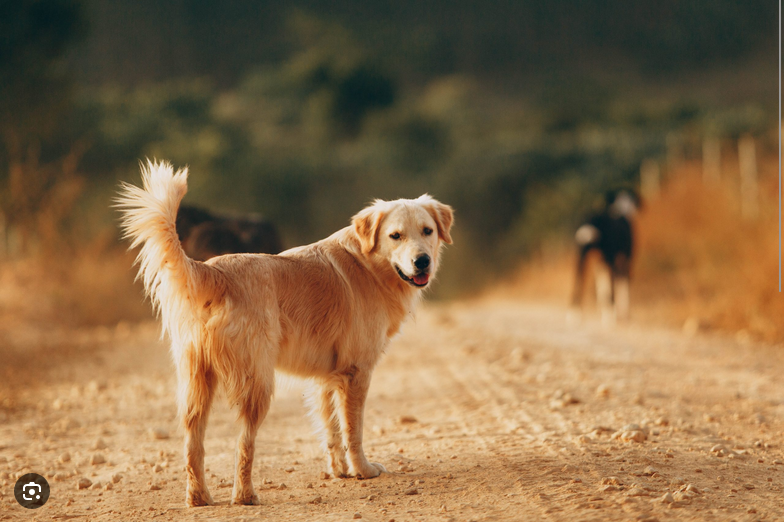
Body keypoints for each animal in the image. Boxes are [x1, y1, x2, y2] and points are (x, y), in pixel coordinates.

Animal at [116, 161, 454, 504]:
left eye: (427, 231)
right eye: (395, 236)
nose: (422, 261)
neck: (368, 264)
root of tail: (215, 271)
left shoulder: (327, 378)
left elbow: (331, 430)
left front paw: (340, 470)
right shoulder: (356, 372)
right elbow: (353, 430)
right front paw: (363, 470)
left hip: (197, 382)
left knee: (193, 442)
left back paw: (199, 498)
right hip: (258, 384)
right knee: (244, 444)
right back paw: (245, 495)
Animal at [572, 189, 640, 322]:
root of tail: (593, 221)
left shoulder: (600, 264)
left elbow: (602, 288)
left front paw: (602, 310)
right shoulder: (625, 259)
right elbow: (622, 285)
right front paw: (624, 314)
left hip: (582, 258)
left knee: (578, 282)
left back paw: (574, 315)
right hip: (611, 259)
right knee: (613, 287)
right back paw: (611, 317)